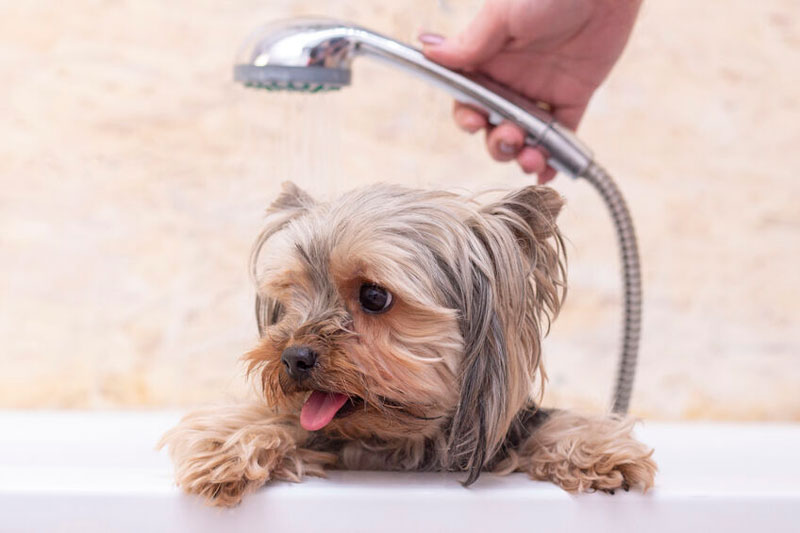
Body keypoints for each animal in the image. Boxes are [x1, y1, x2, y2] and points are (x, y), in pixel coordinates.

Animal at [158, 181, 656, 504]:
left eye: (375, 296)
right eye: (292, 296)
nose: (293, 357)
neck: (397, 442)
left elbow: (554, 423)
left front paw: (599, 451)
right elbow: (282, 422)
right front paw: (226, 446)